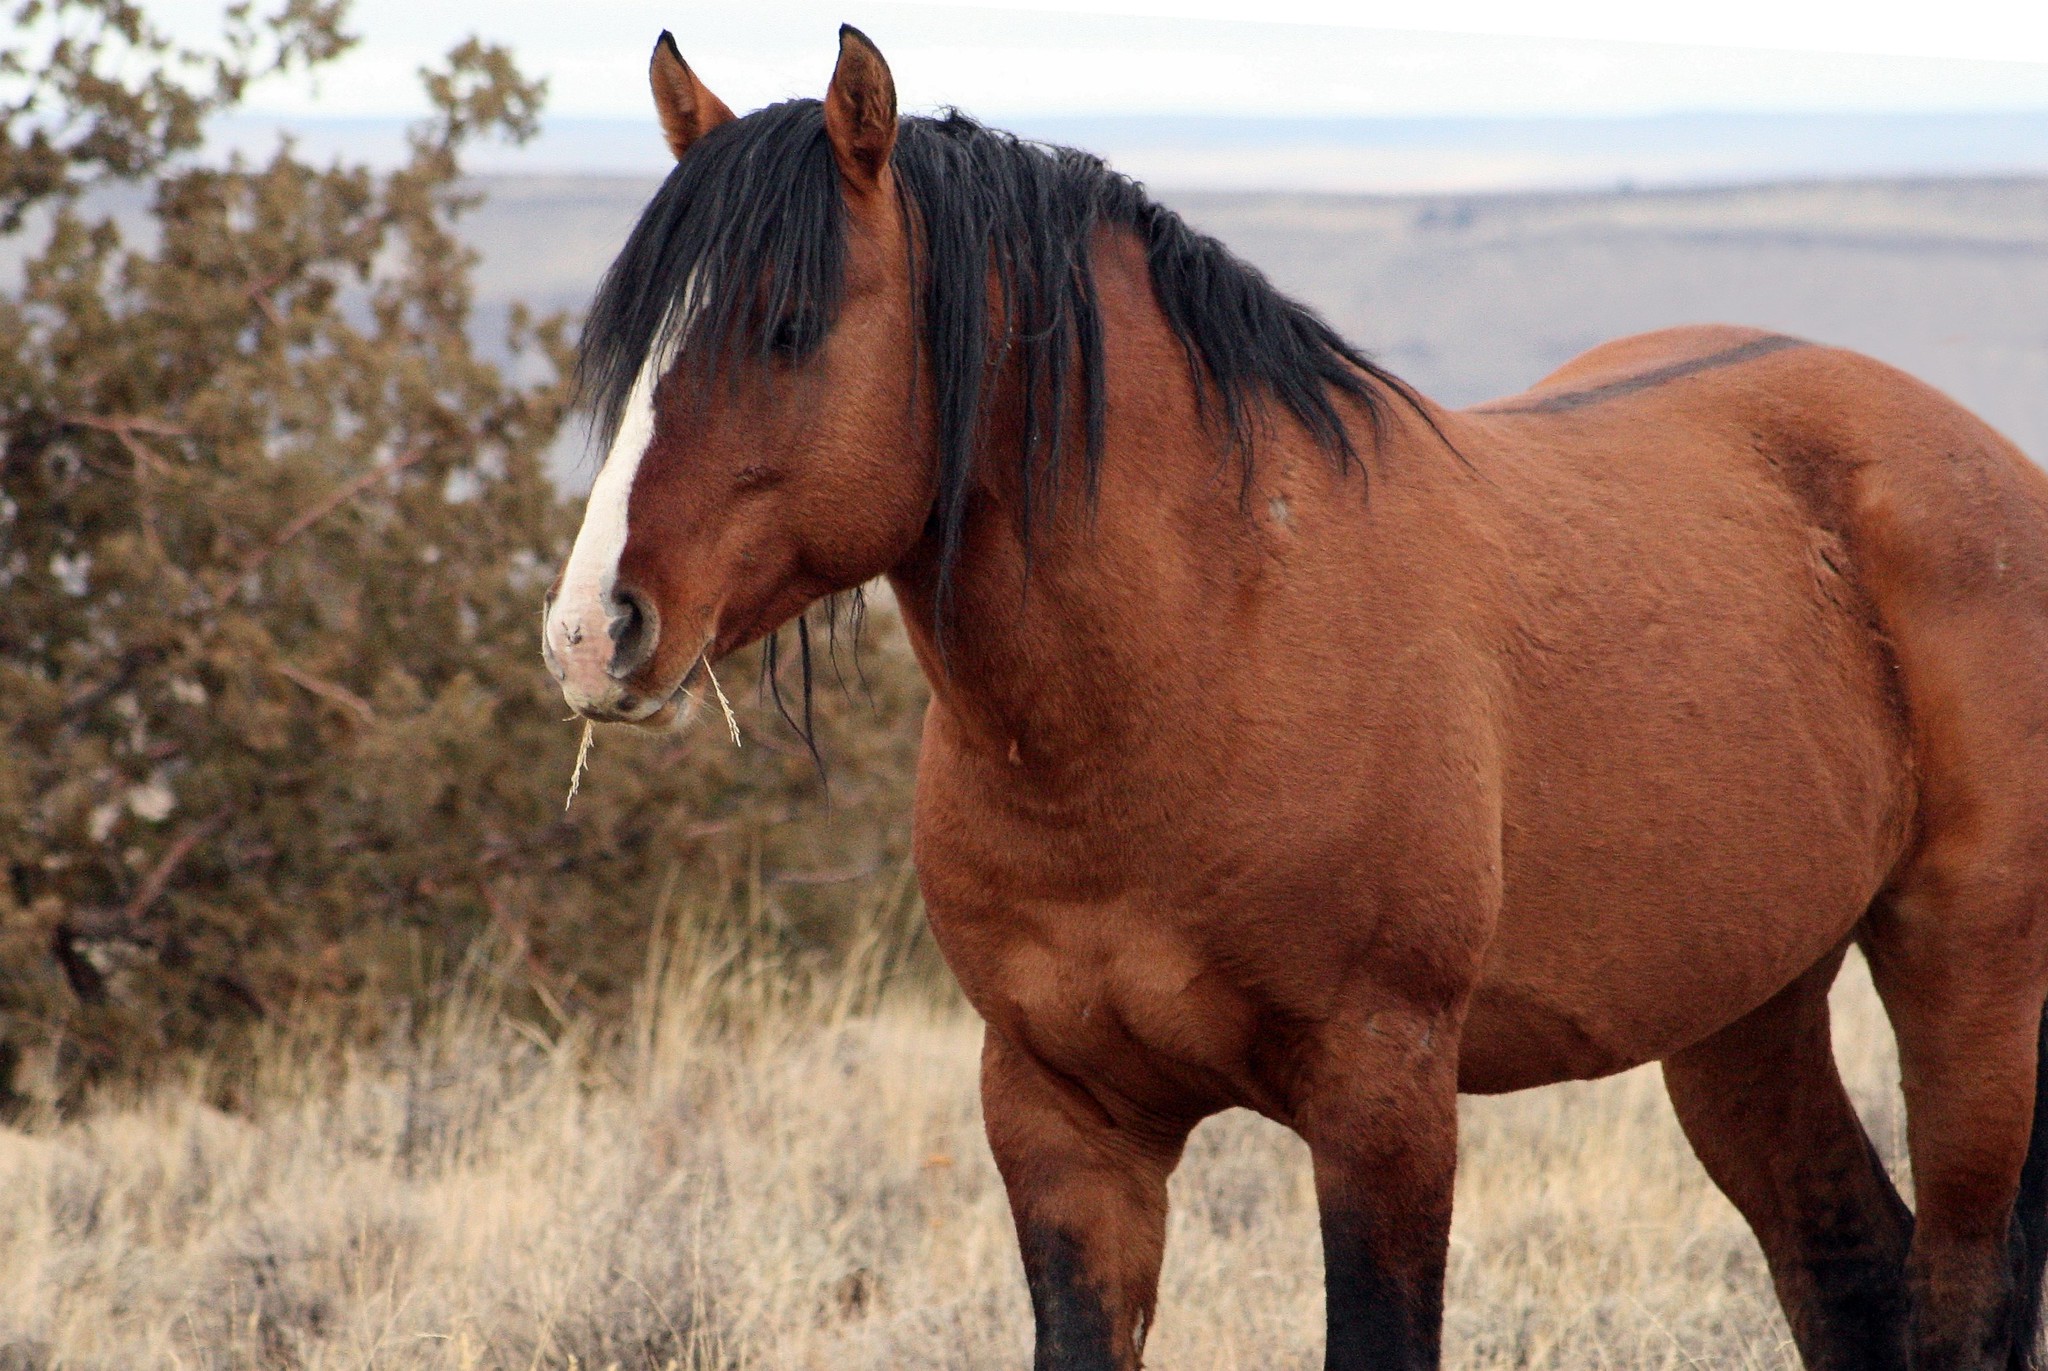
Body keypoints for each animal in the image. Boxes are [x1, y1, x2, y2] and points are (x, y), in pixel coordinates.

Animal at [544, 24, 2048, 1368]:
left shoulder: (1383, 1099)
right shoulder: (1059, 1119)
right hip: (1744, 1004)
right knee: (1848, 1264)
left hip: (1968, 977)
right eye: (632, 342)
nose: (588, 633)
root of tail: (1984, 458)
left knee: (1961, 1292)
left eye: (787, 325)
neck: (1199, 650)